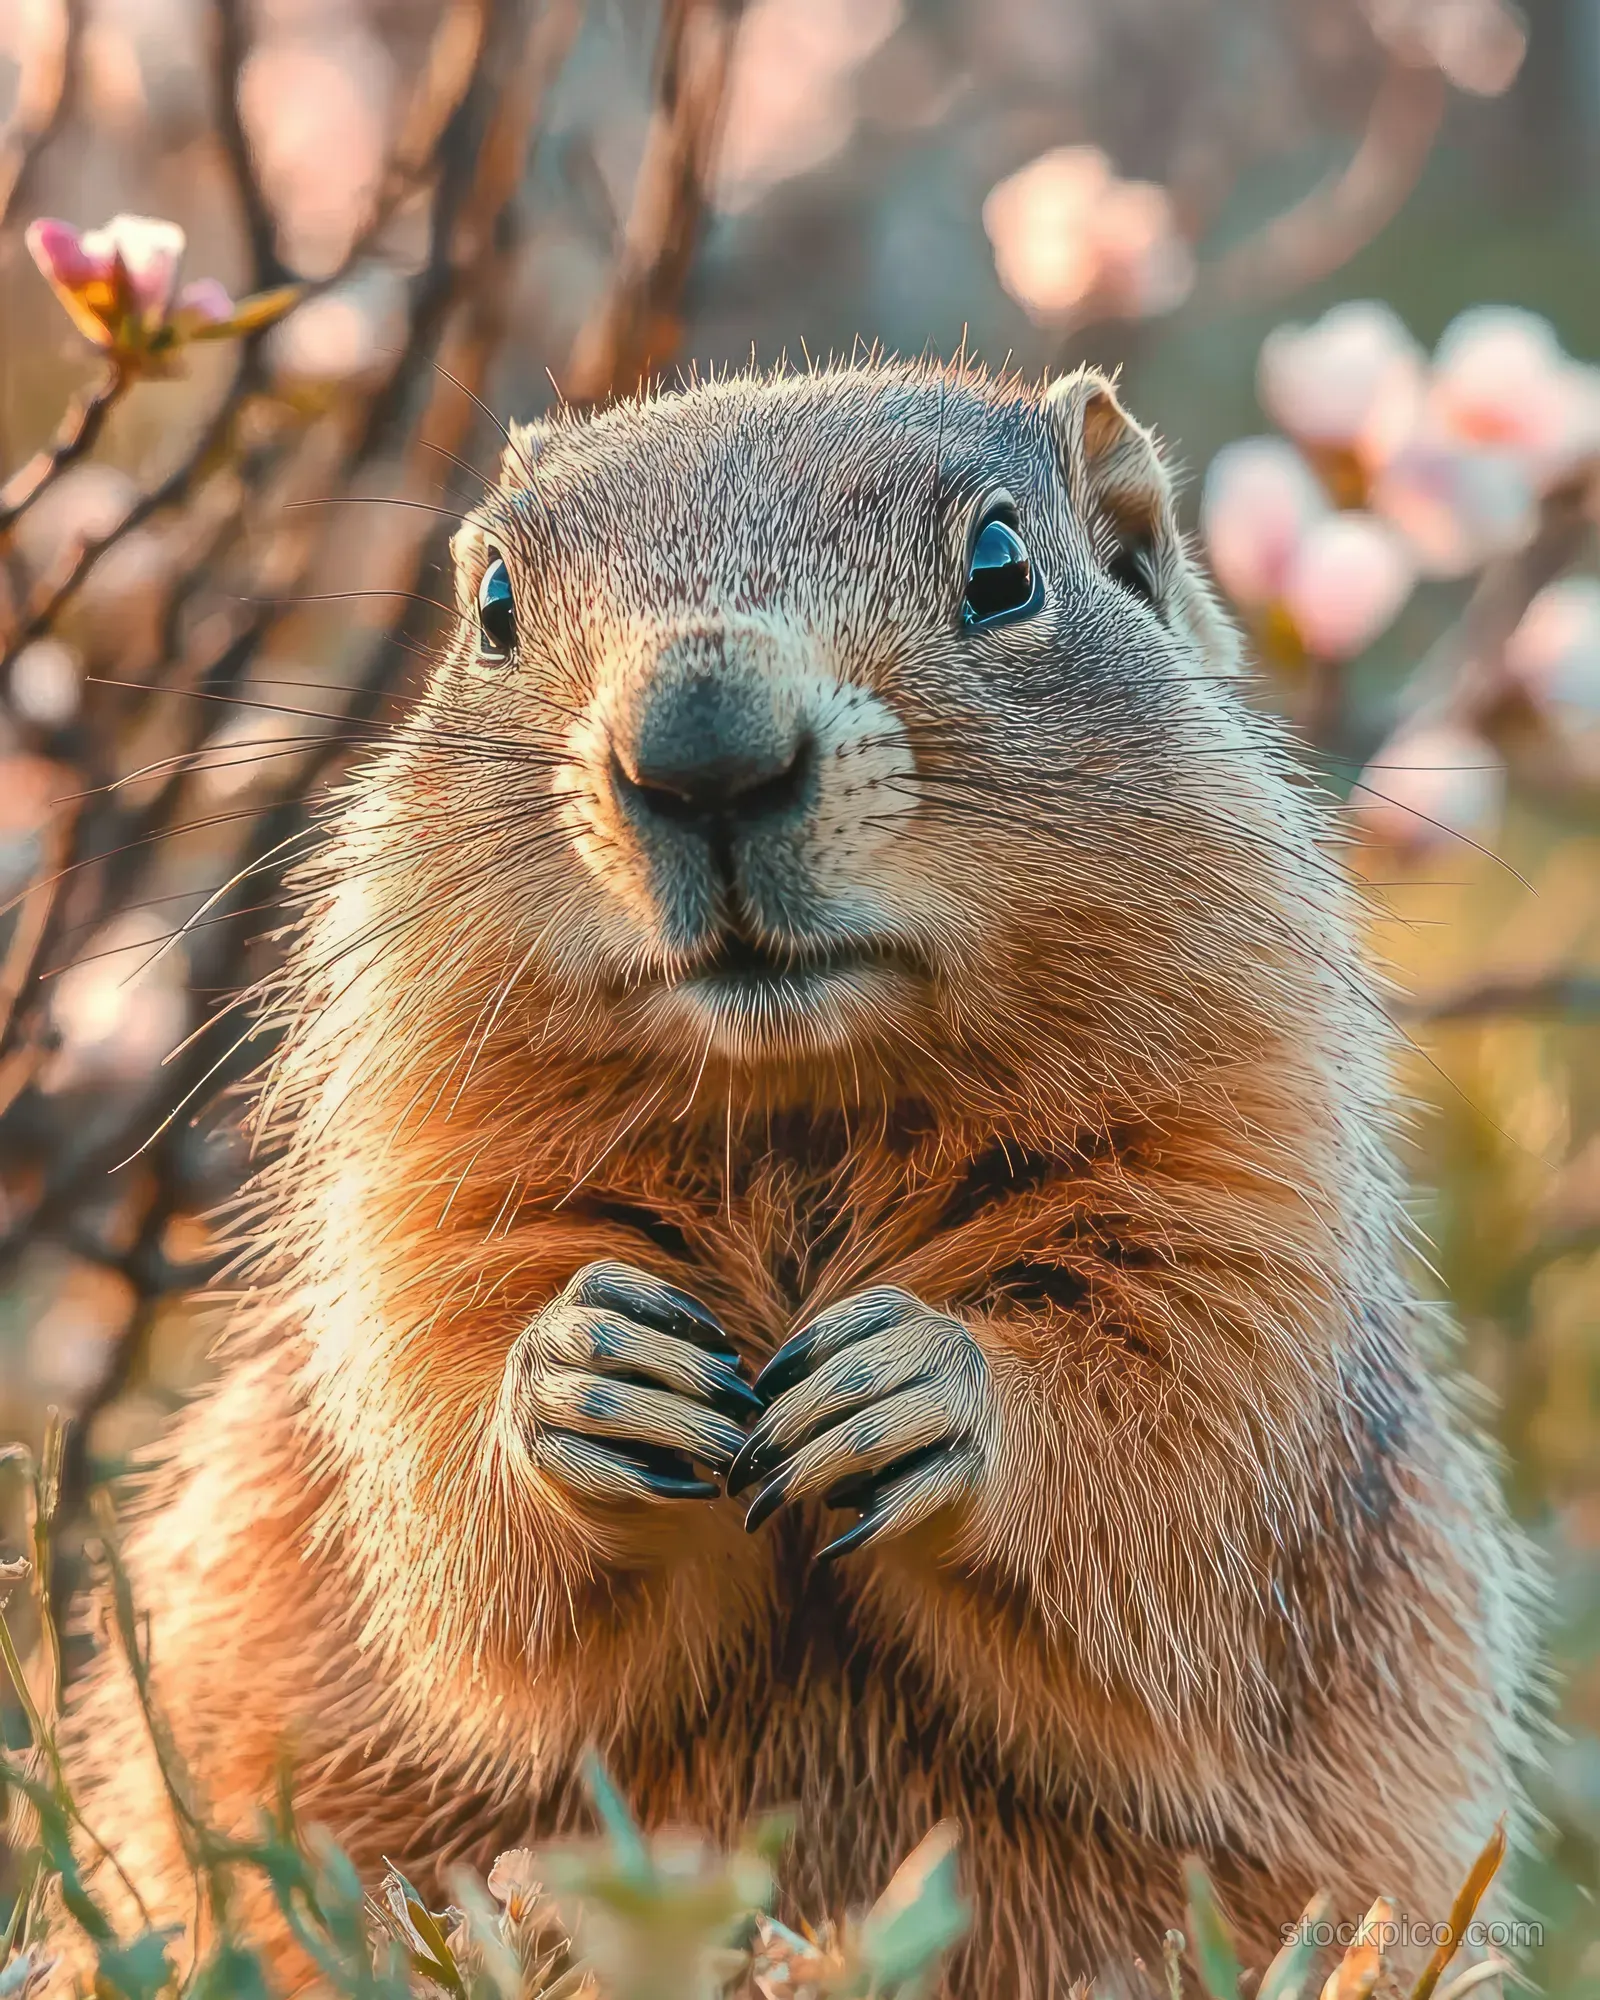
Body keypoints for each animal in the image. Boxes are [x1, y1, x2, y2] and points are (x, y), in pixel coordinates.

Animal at [56, 361, 1540, 1996]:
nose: (699, 737)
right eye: (494, 599)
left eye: (1003, 567)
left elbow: (1182, 1434)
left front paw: (923, 1387)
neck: (802, 1103)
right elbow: (442, 1463)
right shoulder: (422, 1178)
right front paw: (578, 1373)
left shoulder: (1239, 1162)